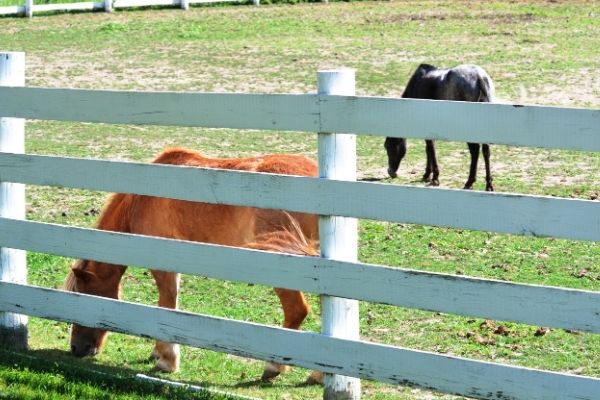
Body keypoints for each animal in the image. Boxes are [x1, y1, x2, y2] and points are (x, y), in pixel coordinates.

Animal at [63, 147, 322, 382]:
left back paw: (274, 367)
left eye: (82, 294)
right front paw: (158, 352)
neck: (143, 198)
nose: (76, 349)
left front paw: (167, 360)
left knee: (296, 311)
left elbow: (166, 303)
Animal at [386, 63, 494, 191]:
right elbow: (428, 149)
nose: (390, 172)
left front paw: (434, 177)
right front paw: (427, 174)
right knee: (485, 151)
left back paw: (469, 182)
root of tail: (479, 77)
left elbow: (430, 148)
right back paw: (488, 185)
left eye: (390, 146)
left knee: (475, 150)